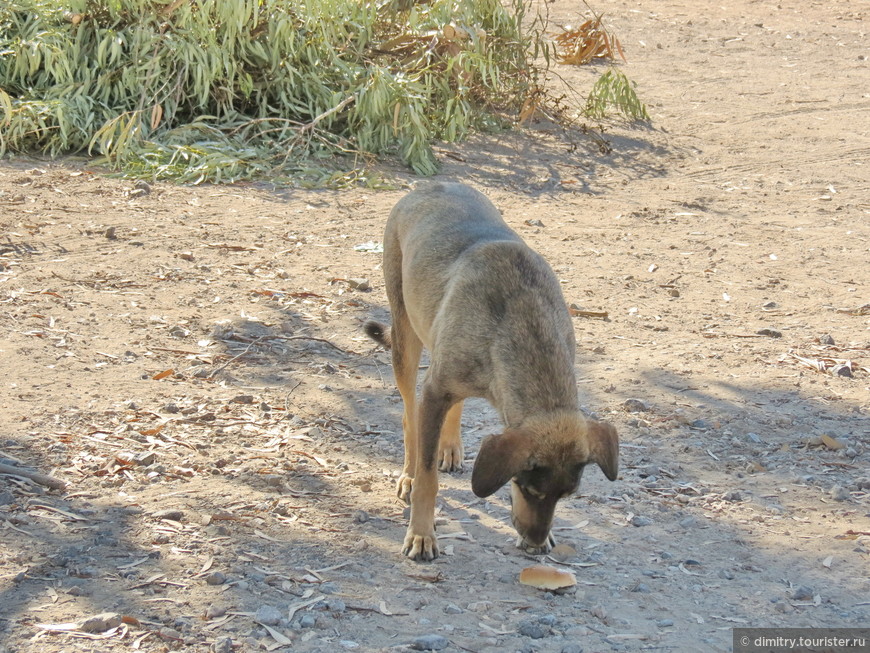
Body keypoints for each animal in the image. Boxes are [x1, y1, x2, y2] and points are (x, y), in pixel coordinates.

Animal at [368, 181, 620, 556]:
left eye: (565, 496)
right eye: (529, 489)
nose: (535, 545)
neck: (523, 321)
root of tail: (429, 185)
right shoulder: (434, 391)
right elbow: (428, 477)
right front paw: (422, 532)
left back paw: (450, 446)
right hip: (404, 336)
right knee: (409, 417)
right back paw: (409, 473)